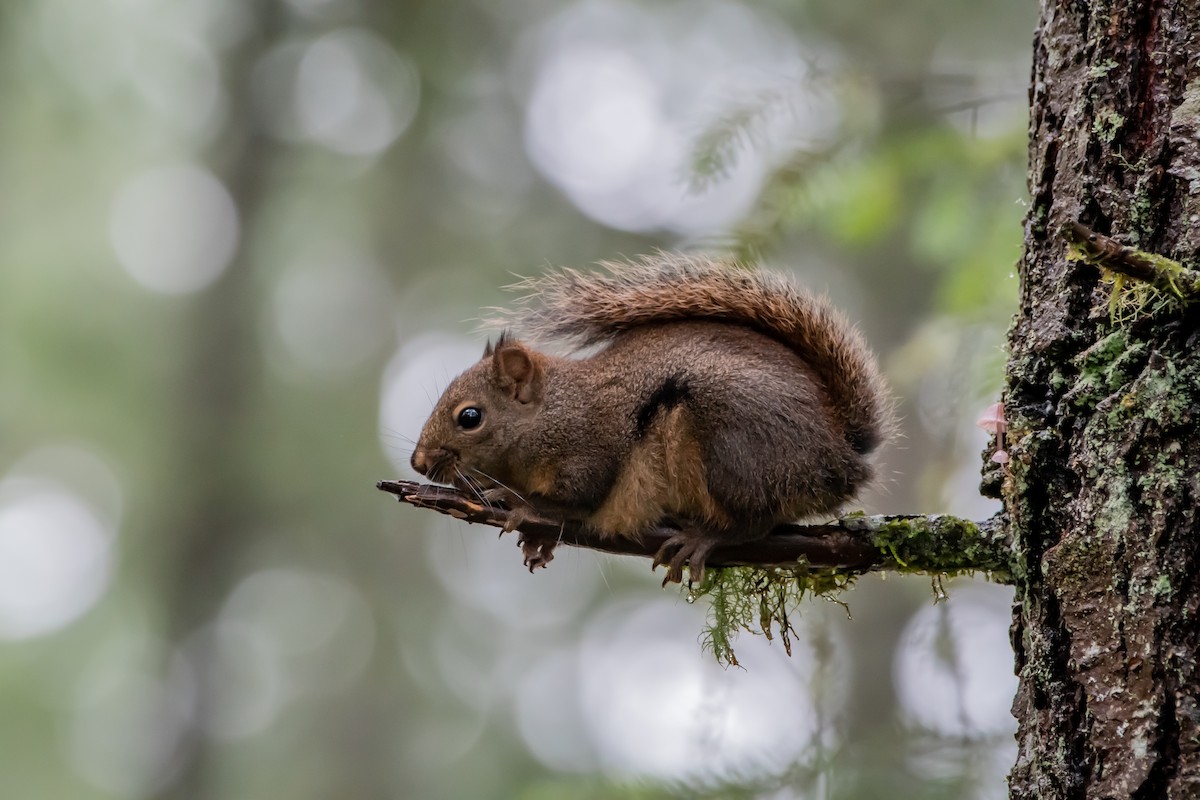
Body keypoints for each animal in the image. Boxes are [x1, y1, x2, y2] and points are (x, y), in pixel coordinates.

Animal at [410, 253, 893, 584]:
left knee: (754, 520)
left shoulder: (590, 444)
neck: (554, 411)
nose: (418, 463)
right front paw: (537, 541)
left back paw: (704, 538)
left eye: (470, 417)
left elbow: (578, 497)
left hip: (732, 443)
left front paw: (521, 505)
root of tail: (841, 455)